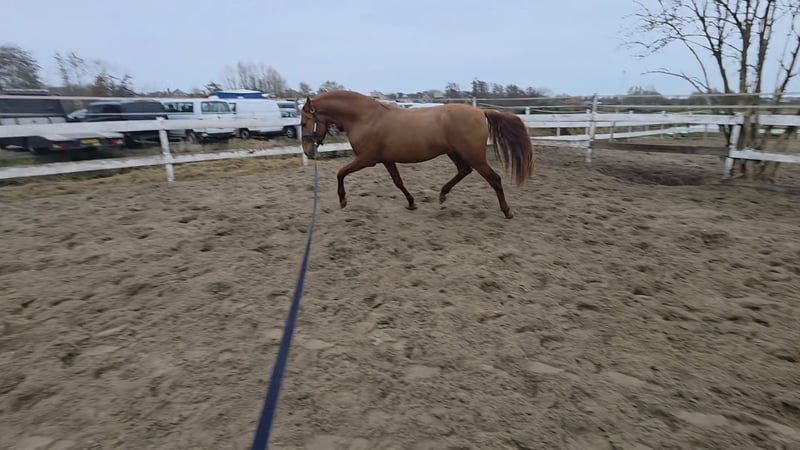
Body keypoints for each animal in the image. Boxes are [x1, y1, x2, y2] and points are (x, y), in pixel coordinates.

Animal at [299, 90, 535, 219]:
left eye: (303, 123)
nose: (308, 152)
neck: (365, 118)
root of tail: (480, 112)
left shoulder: (367, 159)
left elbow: (340, 173)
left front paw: (343, 200)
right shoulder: (387, 160)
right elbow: (398, 182)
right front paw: (412, 202)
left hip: (474, 156)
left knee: (494, 179)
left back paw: (507, 211)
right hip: (455, 152)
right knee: (464, 171)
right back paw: (442, 195)